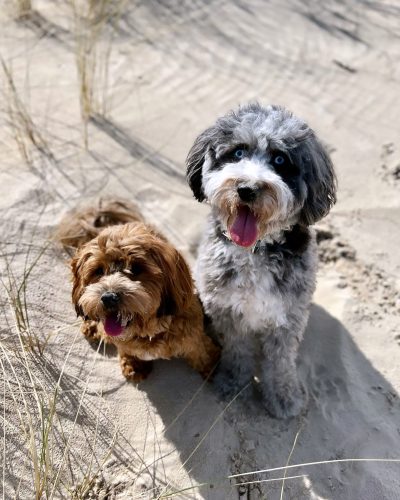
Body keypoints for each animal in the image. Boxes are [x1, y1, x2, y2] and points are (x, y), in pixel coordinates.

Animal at [57, 201, 219, 380]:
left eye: (136, 268)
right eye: (98, 271)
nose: (109, 297)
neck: (150, 332)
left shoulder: (193, 336)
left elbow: (200, 351)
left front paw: (209, 365)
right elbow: (125, 348)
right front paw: (133, 363)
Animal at [186, 102, 336, 418]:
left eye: (280, 159)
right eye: (238, 153)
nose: (247, 189)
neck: (256, 251)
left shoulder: (287, 316)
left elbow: (280, 362)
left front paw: (282, 397)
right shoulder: (228, 310)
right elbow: (237, 350)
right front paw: (233, 382)